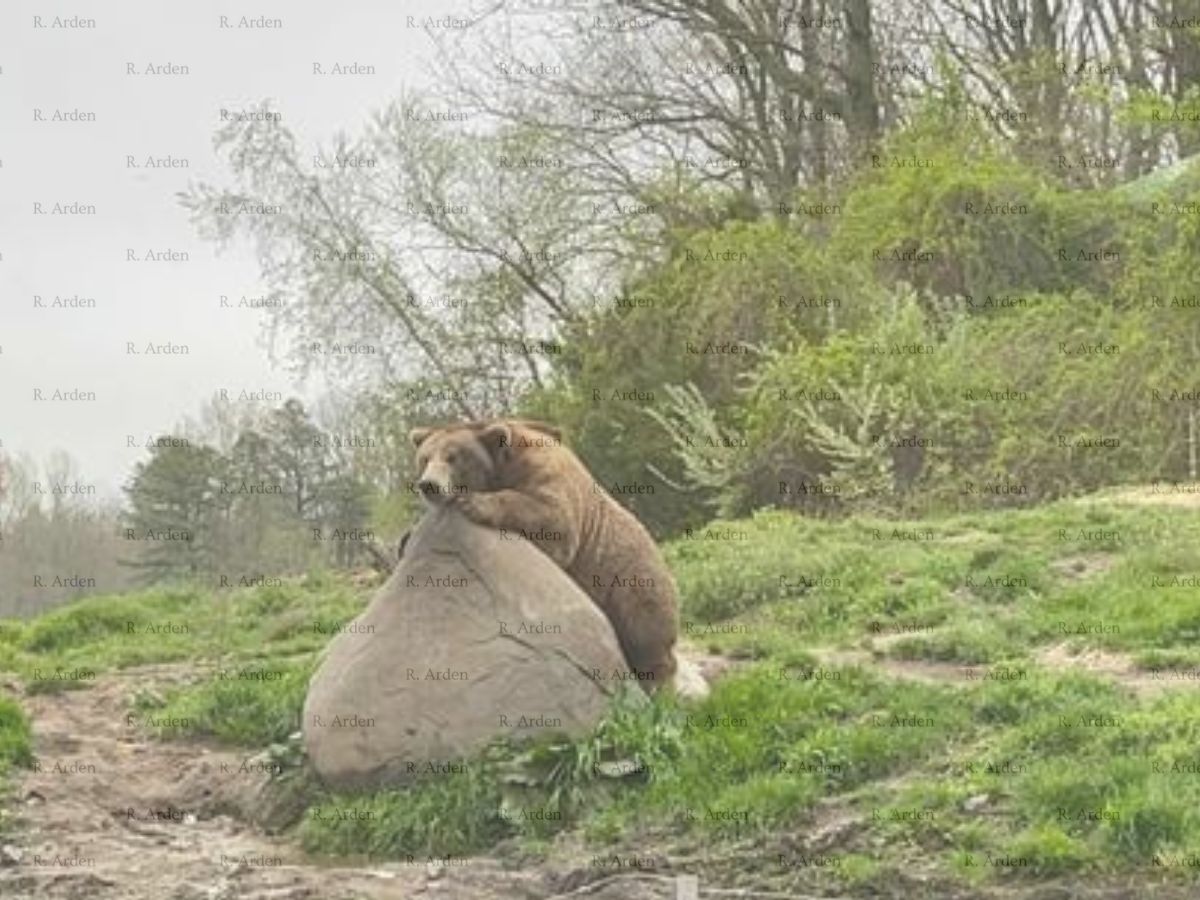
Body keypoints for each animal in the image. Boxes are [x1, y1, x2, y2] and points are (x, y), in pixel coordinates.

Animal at [409, 418, 680, 693]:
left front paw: (475, 503)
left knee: (644, 632)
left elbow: (552, 518)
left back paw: (658, 684)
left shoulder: (545, 475)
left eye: (453, 457)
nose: (429, 485)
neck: (502, 466)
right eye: (425, 458)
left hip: (630, 577)